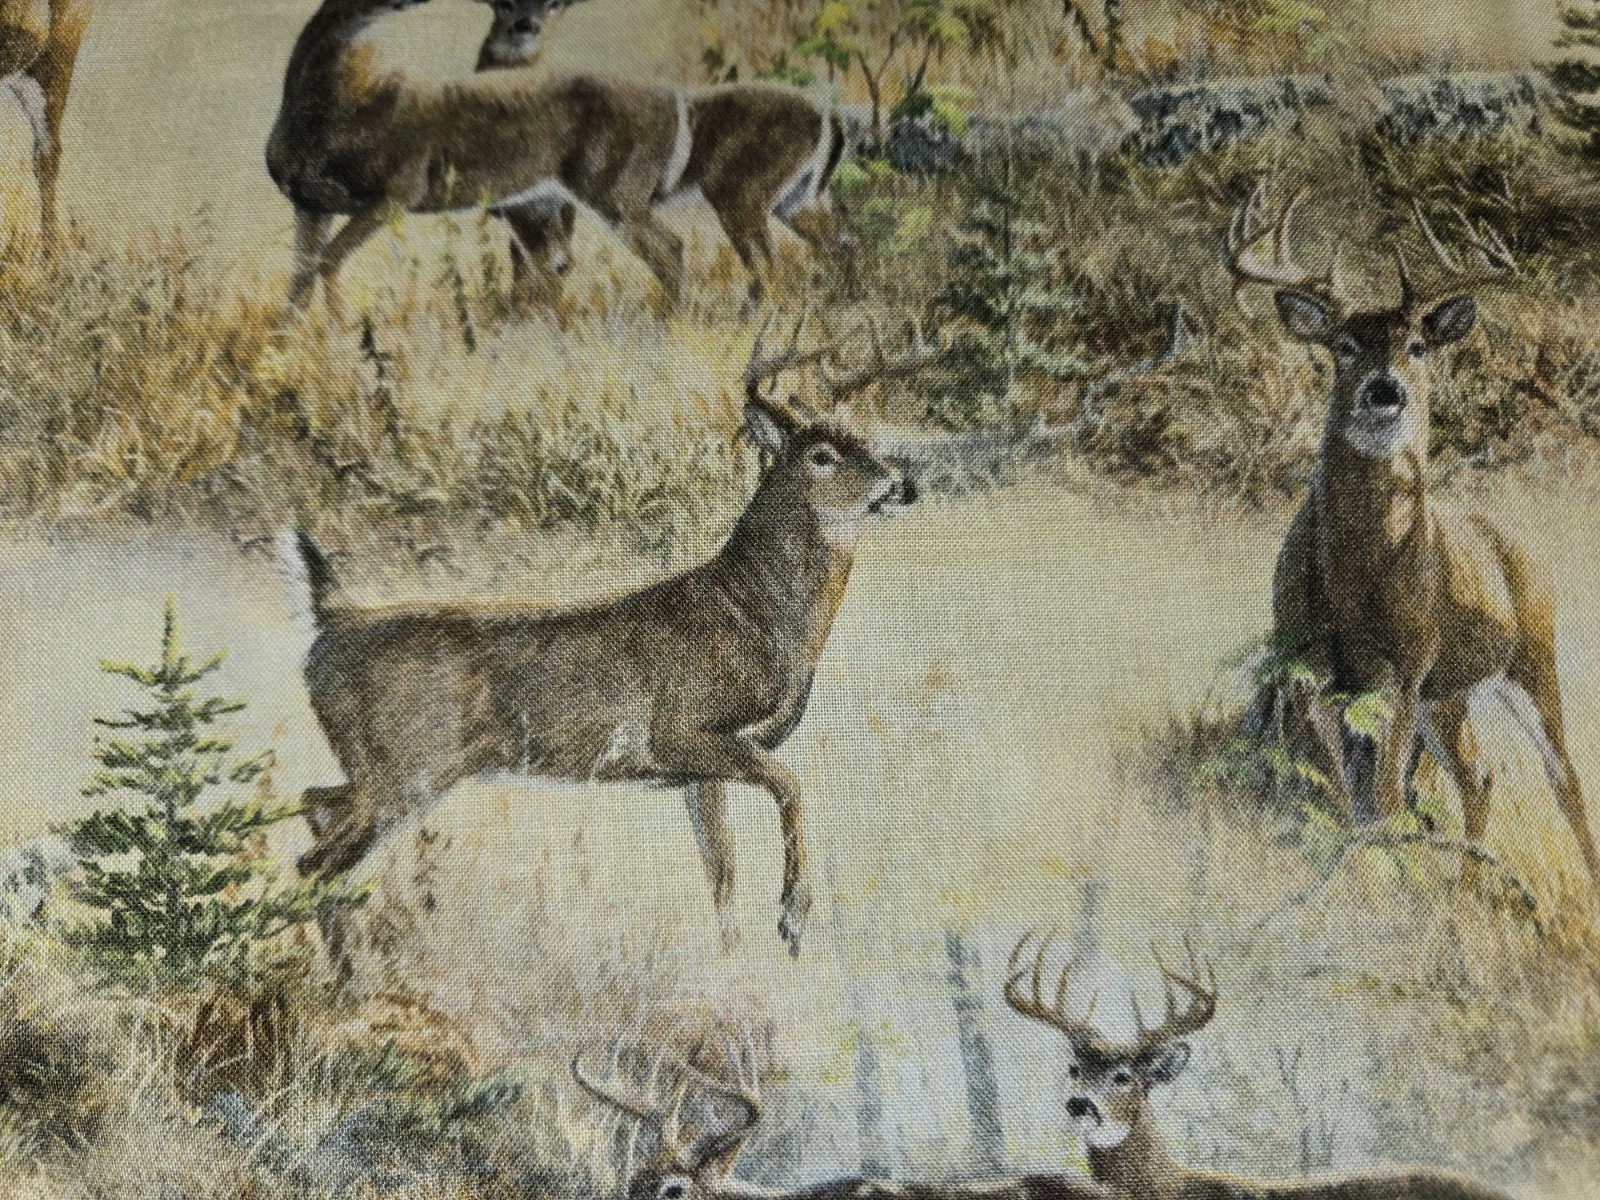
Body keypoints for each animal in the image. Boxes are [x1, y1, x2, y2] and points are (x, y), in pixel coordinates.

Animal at [278, 321, 939, 970]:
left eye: (870, 440)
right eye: (823, 455)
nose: (902, 485)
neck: (756, 615)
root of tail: (330, 623)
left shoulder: (700, 773)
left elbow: (722, 873)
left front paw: (738, 962)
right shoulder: (683, 729)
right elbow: (790, 786)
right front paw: (792, 919)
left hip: (383, 769)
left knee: (314, 805)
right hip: (408, 767)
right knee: (314, 863)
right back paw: (349, 979)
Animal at [470, 0, 848, 310]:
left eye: (554, 4)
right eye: (501, 4)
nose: (524, 27)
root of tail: (828, 117)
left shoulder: (566, 207)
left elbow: (548, 269)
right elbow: (535, 268)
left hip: (734, 196)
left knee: (761, 264)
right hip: (795, 199)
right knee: (836, 243)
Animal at [1221, 183, 1600, 889]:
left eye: (1417, 346)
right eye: (1343, 344)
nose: (1384, 390)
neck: (1358, 579)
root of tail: (1519, 546)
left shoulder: (1406, 663)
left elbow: (1388, 796)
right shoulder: (1314, 665)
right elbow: (1351, 792)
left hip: (1529, 659)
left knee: (1563, 778)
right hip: (1449, 692)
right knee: (1479, 775)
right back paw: (1468, 880)